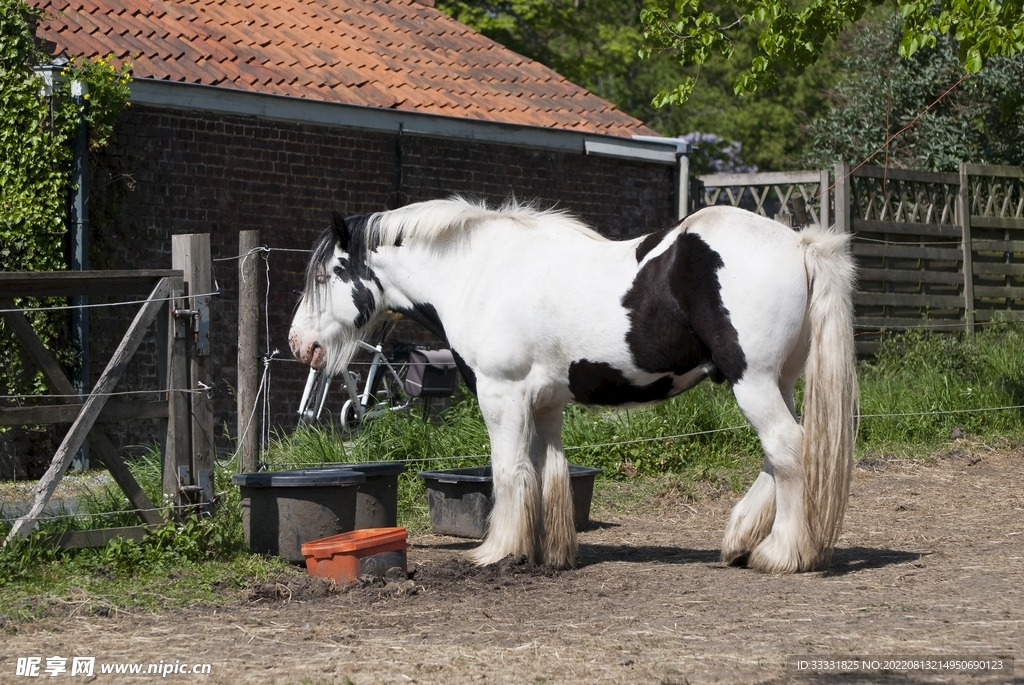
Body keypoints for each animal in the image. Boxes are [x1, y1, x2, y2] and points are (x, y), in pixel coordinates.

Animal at [289, 198, 858, 573]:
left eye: (323, 277)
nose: (299, 344)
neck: (478, 273)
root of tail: (798, 243)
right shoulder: (543, 403)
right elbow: (547, 472)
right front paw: (550, 553)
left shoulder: (500, 395)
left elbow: (509, 472)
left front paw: (498, 550)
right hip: (777, 381)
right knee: (781, 454)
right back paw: (740, 538)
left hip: (753, 381)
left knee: (788, 449)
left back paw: (780, 554)